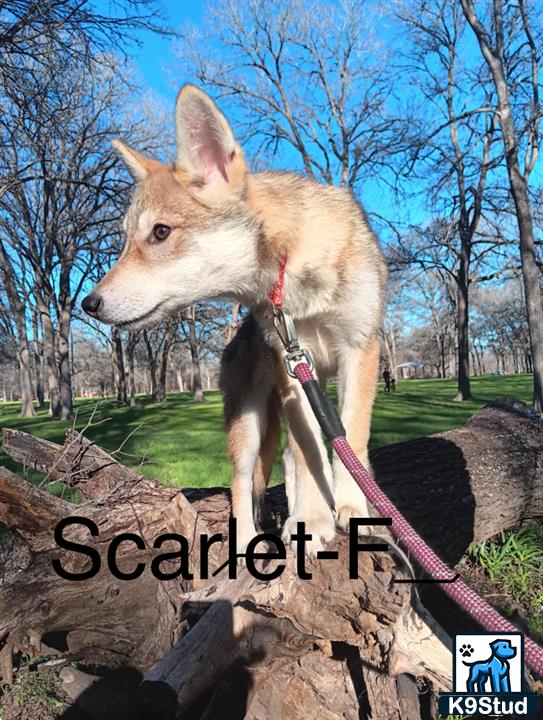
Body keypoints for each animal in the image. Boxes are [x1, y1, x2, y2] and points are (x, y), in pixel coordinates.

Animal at [79, 84, 386, 556]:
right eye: (126, 239)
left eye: (161, 232)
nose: (89, 303)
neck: (290, 268)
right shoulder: (293, 365)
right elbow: (311, 453)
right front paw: (312, 520)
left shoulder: (360, 349)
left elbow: (350, 437)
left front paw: (353, 508)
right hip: (249, 423)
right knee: (244, 482)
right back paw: (247, 545)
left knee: (287, 462)